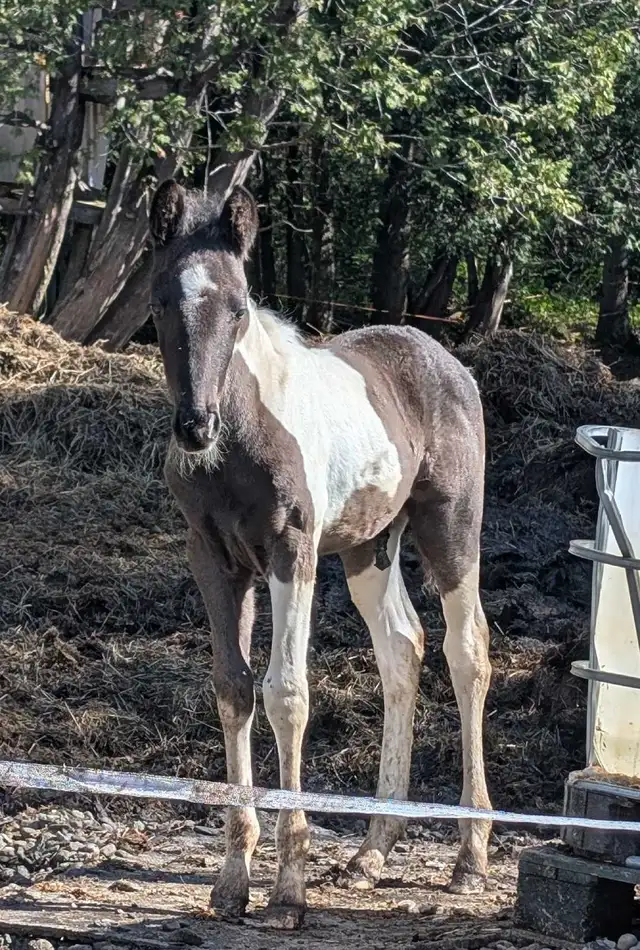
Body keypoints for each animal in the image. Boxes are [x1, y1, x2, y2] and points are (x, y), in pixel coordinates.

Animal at [148, 180, 492, 929]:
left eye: (239, 308)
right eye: (159, 303)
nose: (195, 428)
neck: (244, 434)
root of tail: (449, 361)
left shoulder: (292, 550)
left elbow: (287, 693)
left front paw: (287, 890)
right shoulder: (213, 559)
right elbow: (233, 689)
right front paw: (232, 881)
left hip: (450, 527)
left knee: (467, 651)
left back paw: (471, 856)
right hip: (369, 547)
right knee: (403, 648)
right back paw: (371, 852)